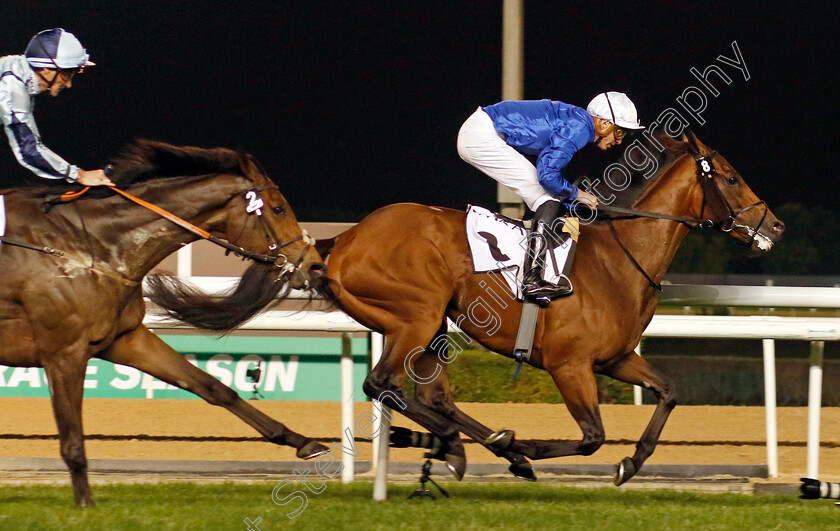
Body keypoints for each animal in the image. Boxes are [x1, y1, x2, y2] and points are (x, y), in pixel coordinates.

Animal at [0, 141, 326, 508]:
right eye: (279, 209)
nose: (315, 267)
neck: (88, 246)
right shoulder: (63, 352)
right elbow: (72, 439)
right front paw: (85, 503)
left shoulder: (124, 338)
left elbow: (214, 387)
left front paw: (303, 441)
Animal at [320, 132, 788, 486]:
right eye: (732, 178)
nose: (777, 226)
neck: (618, 260)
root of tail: (345, 239)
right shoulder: (570, 366)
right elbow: (593, 436)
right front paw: (524, 447)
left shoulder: (615, 359)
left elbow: (669, 391)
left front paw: (631, 463)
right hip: (417, 316)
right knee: (383, 384)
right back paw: (484, 446)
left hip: (432, 322)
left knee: (430, 395)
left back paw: (470, 448)